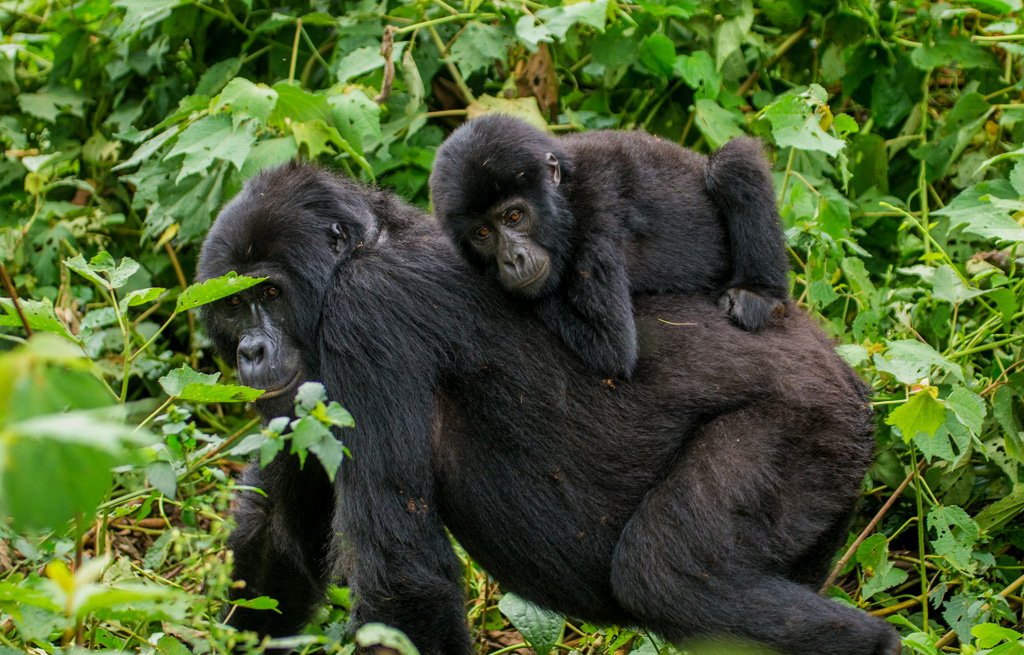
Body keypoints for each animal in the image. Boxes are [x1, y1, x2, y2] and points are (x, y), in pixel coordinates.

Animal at [195, 162, 901, 655]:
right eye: (232, 305)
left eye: (268, 294)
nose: (252, 352)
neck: (363, 246)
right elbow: (276, 542)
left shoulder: (366, 315)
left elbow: (402, 579)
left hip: (810, 420)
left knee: (666, 574)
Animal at [428, 115, 786, 376]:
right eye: (483, 233)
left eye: (514, 216)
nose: (513, 259)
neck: (565, 195)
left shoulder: (595, 216)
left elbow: (611, 347)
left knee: (734, 163)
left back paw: (758, 293)